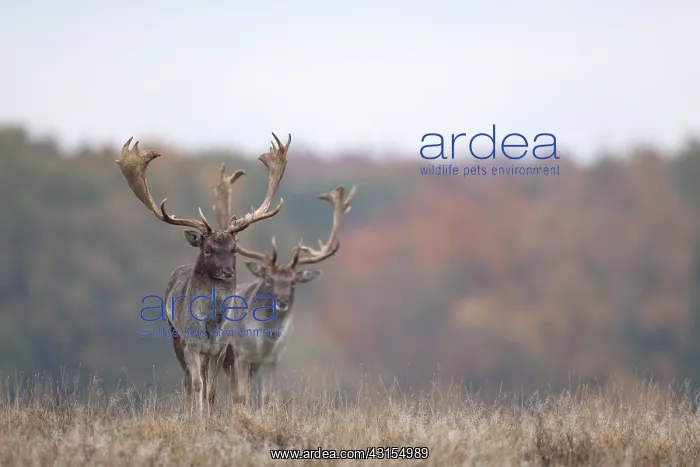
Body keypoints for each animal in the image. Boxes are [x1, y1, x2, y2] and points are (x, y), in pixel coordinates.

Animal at [116, 133, 291, 414]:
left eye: (234, 249)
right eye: (207, 249)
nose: (227, 272)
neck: (211, 323)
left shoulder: (220, 348)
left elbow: (211, 389)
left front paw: (208, 414)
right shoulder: (190, 343)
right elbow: (197, 384)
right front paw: (197, 416)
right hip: (175, 336)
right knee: (188, 379)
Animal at [208, 183, 356, 407]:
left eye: (293, 283)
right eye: (269, 279)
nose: (283, 301)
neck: (263, 344)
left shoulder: (272, 359)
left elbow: (266, 397)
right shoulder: (241, 354)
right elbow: (242, 397)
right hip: (219, 352)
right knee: (213, 387)